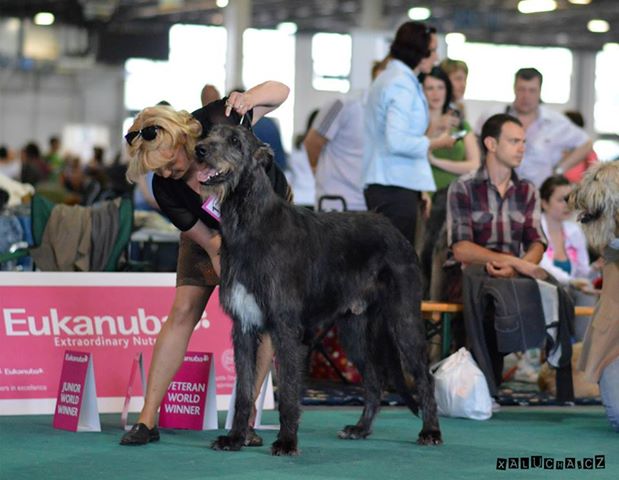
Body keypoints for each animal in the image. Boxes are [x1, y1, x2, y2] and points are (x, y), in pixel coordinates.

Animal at [196, 124, 444, 454]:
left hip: (403, 319)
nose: (199, 149)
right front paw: (235, 438)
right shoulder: (244, 326)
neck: (249, 221)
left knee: (425, 378)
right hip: (355, 328)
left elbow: (289, 391)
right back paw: (360, 428)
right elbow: (245, 391)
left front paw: (287, 441)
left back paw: (431, 431)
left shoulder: (286, 328)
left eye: (235, 140)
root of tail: (396, 232)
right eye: (211, 132)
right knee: (374, 379)